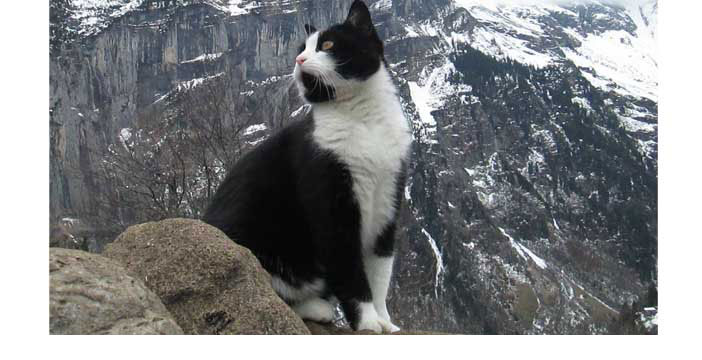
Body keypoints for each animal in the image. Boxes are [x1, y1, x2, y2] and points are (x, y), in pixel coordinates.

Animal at [204, 0, 412, 334]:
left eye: (327, 45)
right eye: (302, 47)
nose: (299, 59)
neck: (363, 120)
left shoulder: (388, 199)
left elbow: (380, 270)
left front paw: (385, 321)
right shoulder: (331, 203)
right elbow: (350, 270)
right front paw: (368, 322)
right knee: (259, 286)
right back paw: (317, 307)